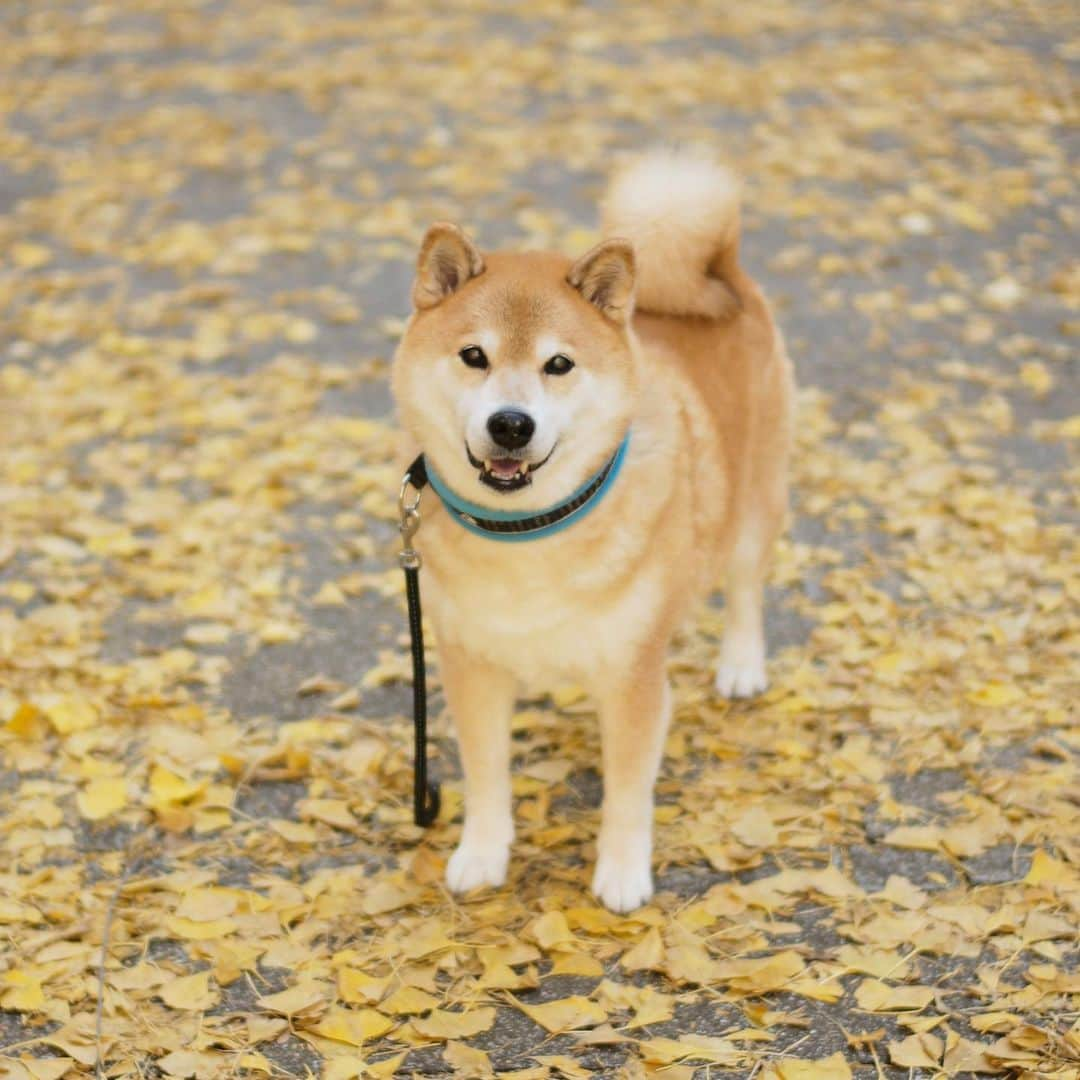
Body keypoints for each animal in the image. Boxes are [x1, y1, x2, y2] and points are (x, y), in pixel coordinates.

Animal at [395, 150, 794, 911]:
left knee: (744, 590)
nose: (510, 424)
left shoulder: (634, 677)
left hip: (752, 505)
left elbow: (628, 792)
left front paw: (621, 871)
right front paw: (482, 854)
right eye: (474, 356)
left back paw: (740, 664)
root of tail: (722, 273)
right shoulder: (472, 665)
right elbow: (486, 776)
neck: (531, 534)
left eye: (558, 364)